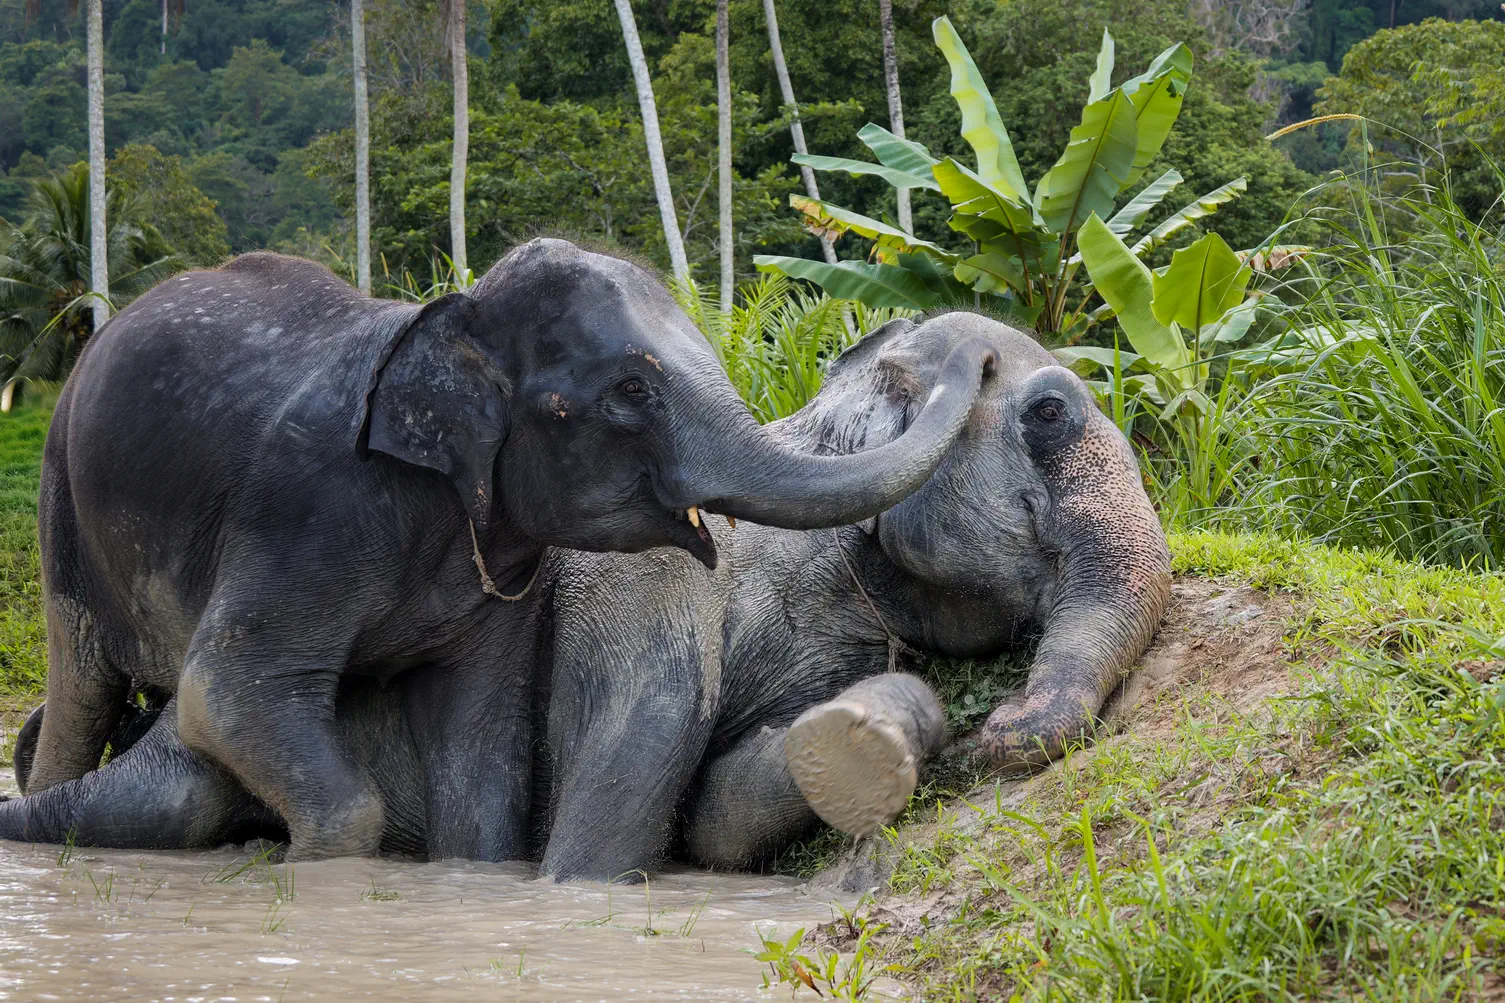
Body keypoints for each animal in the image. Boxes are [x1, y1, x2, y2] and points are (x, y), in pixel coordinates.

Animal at [4, 310, 1168, 883]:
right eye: (1050, 412)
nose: (1002, 732)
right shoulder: (646, 576)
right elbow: (626, 786)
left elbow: (714, 815)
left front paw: (861, 746)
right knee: (160, 794)